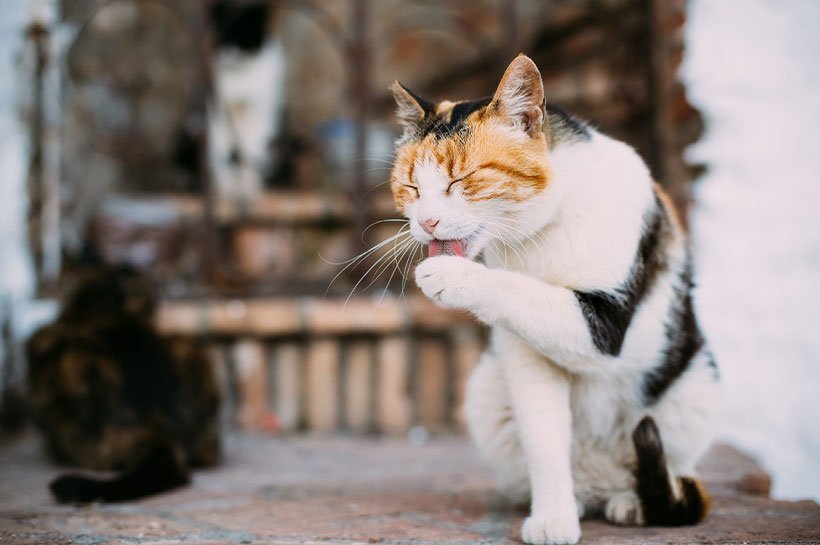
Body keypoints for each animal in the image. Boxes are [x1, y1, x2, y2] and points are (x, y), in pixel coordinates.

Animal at [390, 56, 716, 544]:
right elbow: (544, 439)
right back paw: (578, 498)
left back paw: (631, 501)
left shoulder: (604, 326)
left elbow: (519, 290)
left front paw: (451, 275)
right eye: (410, 187)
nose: (426, 222)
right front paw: (554, 516)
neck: (543, 229)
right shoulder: (524, 354)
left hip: (695, 387)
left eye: (462, 179)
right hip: (487, 391)